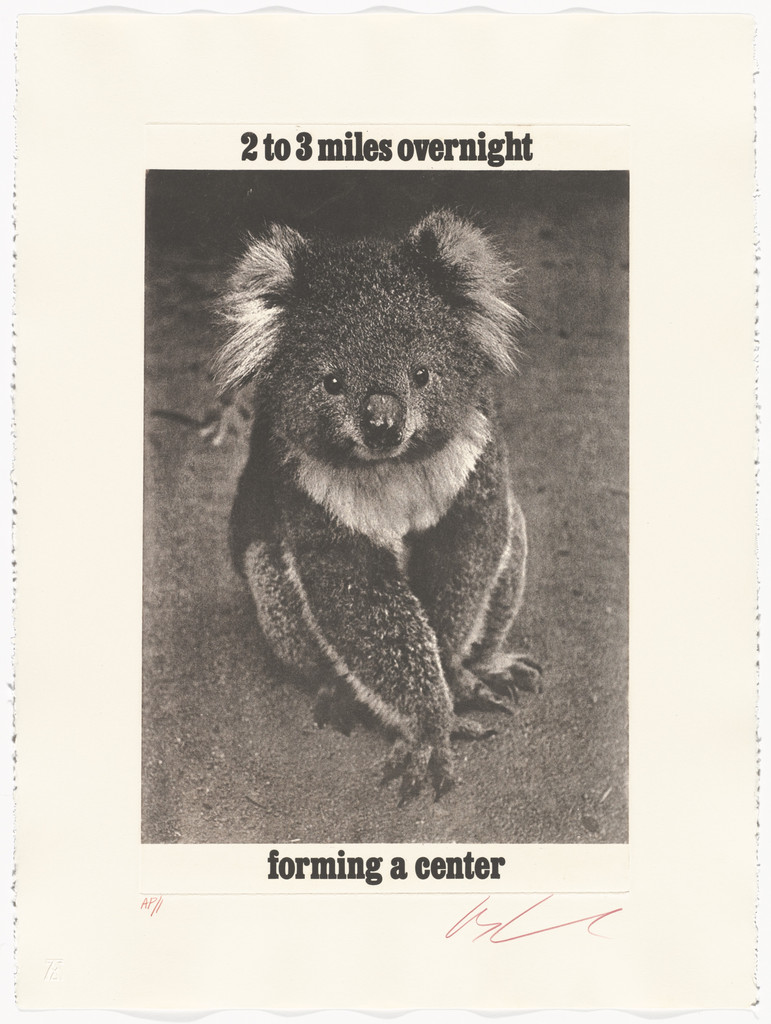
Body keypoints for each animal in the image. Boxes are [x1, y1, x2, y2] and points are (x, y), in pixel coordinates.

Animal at [215, 210, 540, 804]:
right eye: (332, 382)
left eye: (422, 373)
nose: (381, 424)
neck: (393, 465)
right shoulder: (309, 491)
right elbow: (360, 599)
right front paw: (431, 728)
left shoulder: (475, 457)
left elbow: (464, 561)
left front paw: (452, 678)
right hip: (269, 586)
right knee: (278, 583)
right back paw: (336, 693)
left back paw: (488, 668)